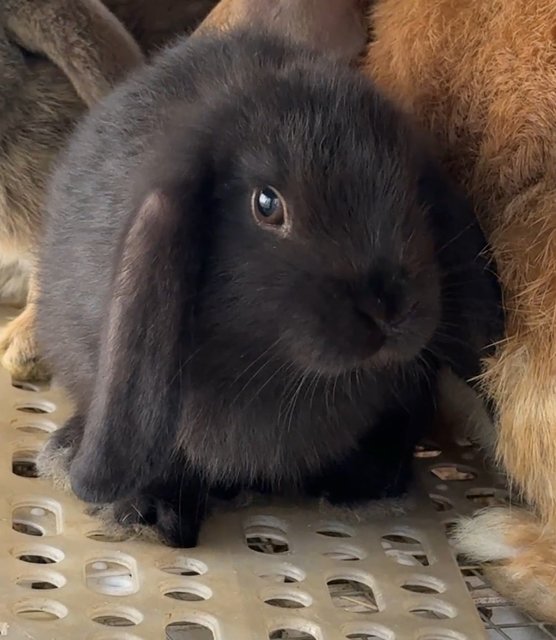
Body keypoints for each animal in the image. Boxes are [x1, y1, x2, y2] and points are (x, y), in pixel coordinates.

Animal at [35, 26, 502, 548]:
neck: (281, 377)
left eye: (412, 192)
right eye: (266, 204)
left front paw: (362, 481)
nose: (389, 309)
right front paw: (149, 511)